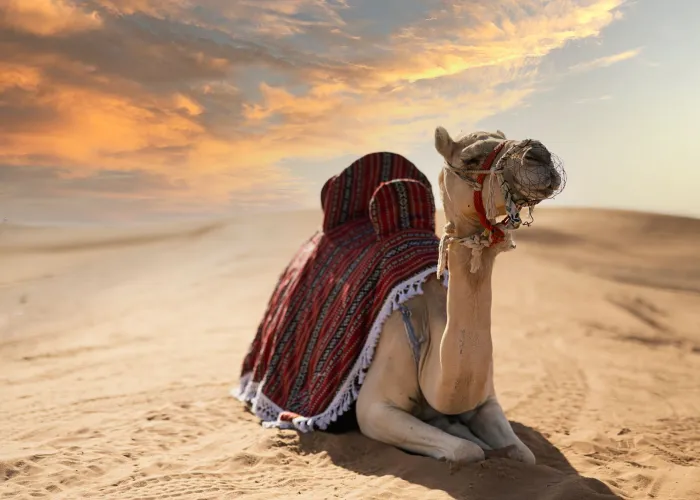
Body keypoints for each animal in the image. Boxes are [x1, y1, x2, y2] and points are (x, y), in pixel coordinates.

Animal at [354, 126, 564, 464]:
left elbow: (524, 455)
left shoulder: (487, 398)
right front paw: (469, 440)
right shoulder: (372, 409)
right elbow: (467, 451)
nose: (539, 156)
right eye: (471, 158)